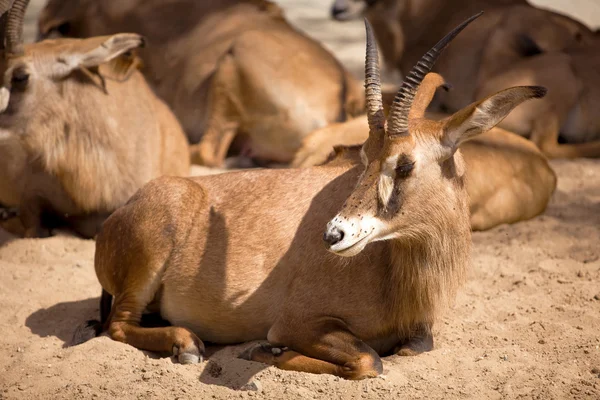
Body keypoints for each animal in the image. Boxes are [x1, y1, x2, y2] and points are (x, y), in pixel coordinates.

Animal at [81, 14, 548, 378]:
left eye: (404, 164)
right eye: (363, 156)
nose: (334, 235)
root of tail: (122, 212)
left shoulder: (418, 333)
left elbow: (412, 347)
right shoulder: (296, 322)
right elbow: (369, 360)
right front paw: (265, 350)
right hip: (145, 269)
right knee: (117, 326)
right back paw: (186, 344)